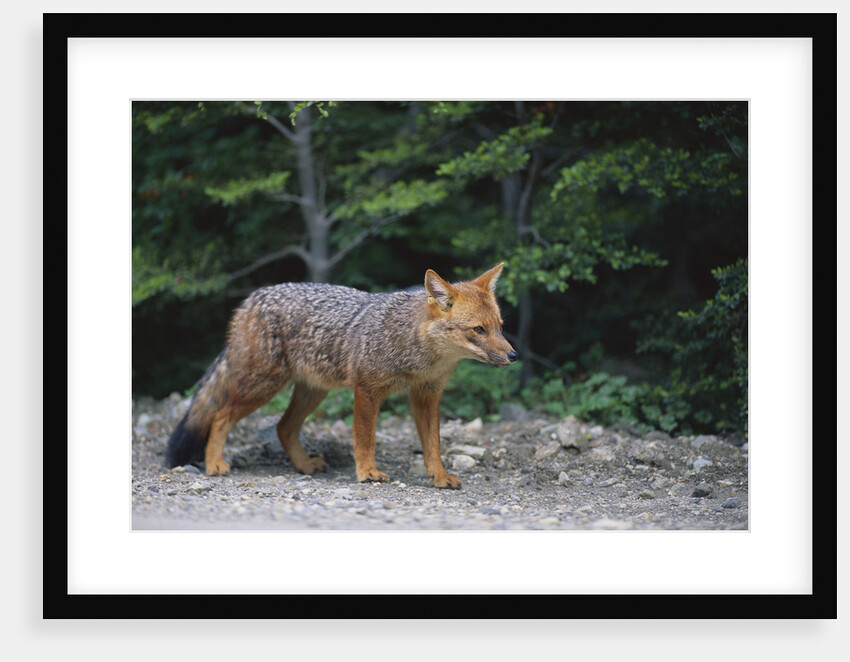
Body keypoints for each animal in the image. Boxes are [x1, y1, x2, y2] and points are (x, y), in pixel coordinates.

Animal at [165, 263, 516, 488]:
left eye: (500, 326)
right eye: (478, 330)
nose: (514, 356)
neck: (418, 353)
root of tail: (252, 297)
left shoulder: (426, 396)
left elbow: (433, 445)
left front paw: (439, 477)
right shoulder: (367, 389)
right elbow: (365, 438)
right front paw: (367, 473)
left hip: (311, 392)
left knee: (282, 427)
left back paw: (305, 465)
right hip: (261, 388)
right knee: (220, 417)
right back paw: (214, 464)